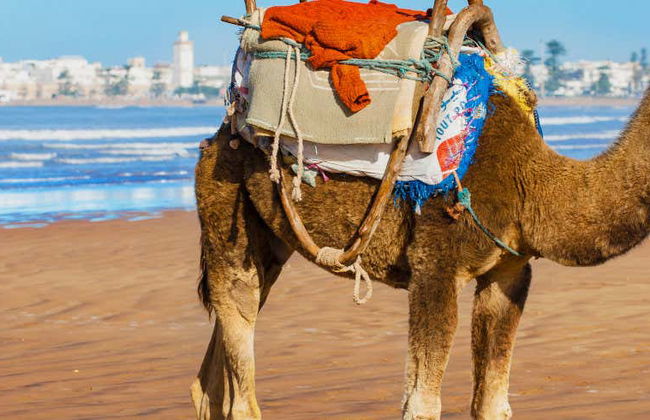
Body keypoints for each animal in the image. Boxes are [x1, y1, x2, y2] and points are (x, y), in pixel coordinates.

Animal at [189, 85, 650, 419]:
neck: (531, 184)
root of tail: (217, 137)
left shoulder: (509, 271)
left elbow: (492, 402)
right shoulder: (436, 264)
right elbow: (422, 403)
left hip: (268, 240)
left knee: (211, 376)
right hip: (224, 209)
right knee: (239, 363)